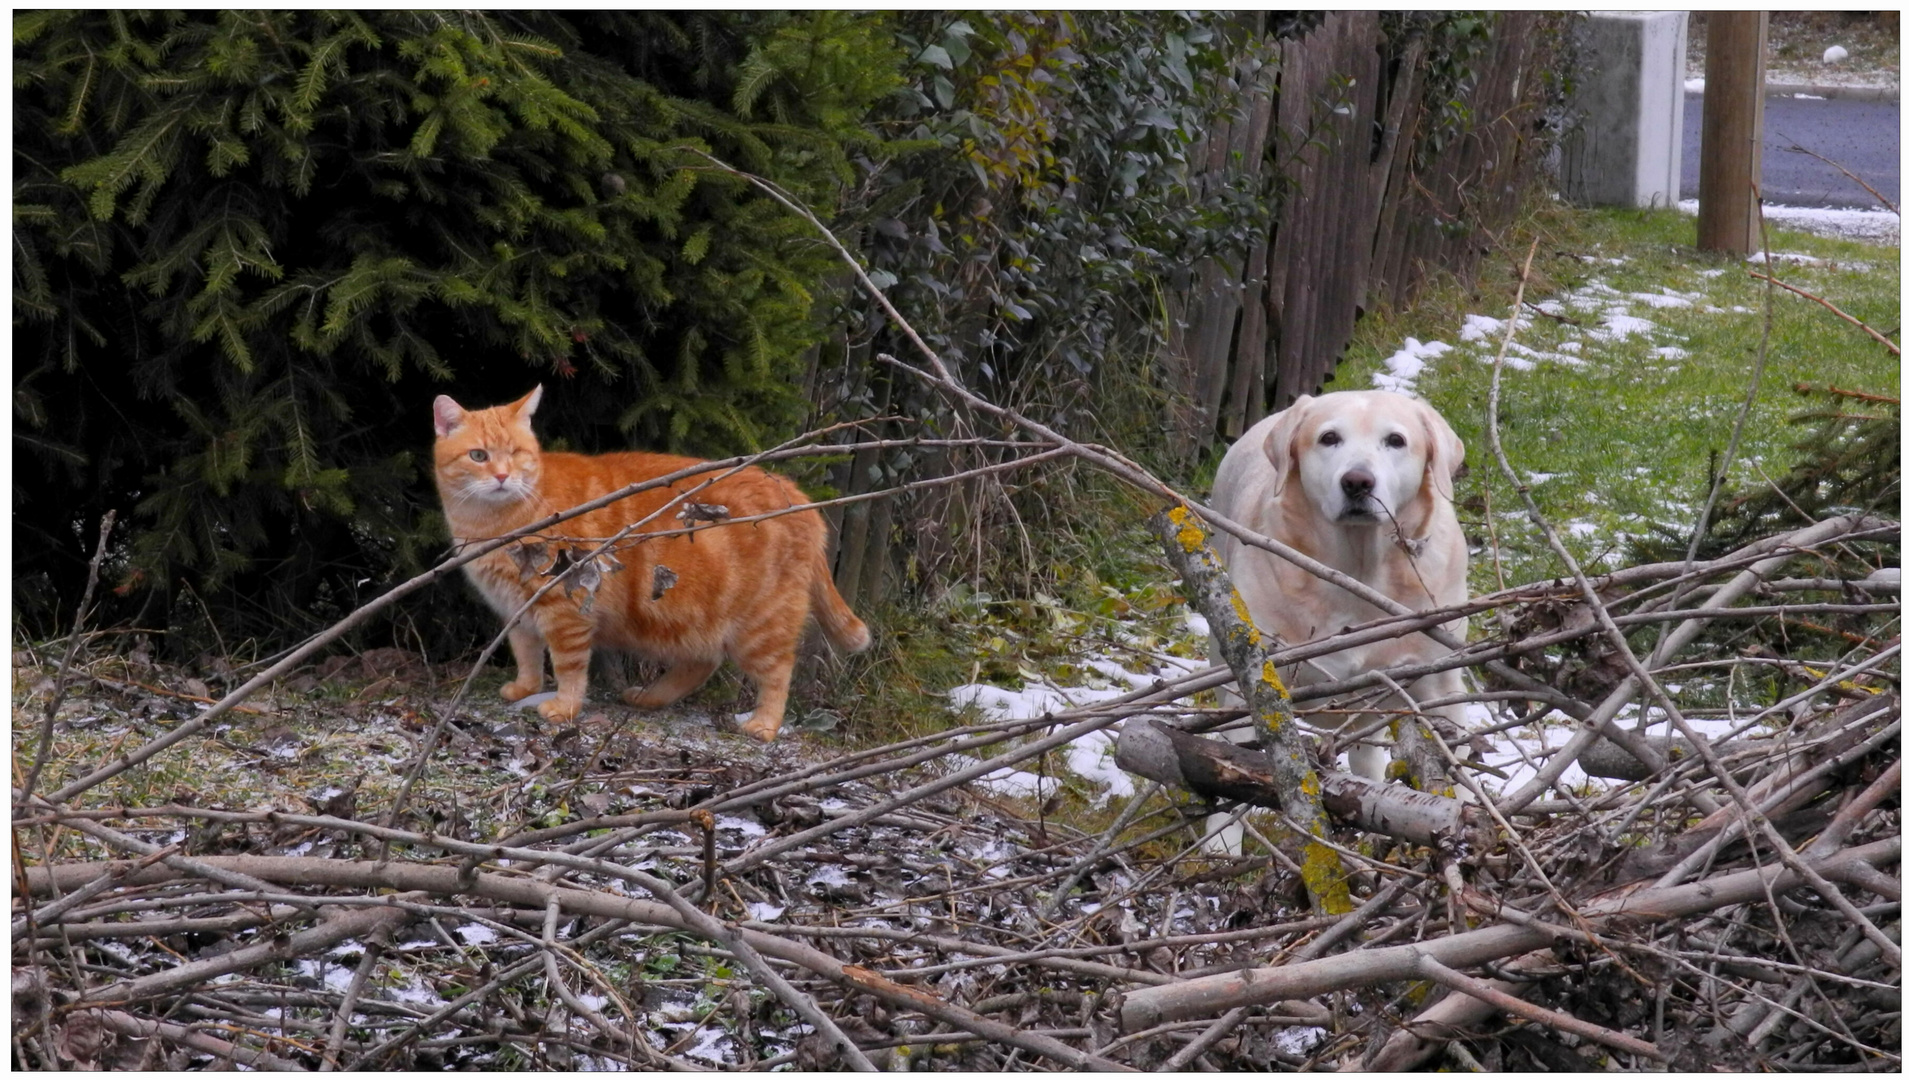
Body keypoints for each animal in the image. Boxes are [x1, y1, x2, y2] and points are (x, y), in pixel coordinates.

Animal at [429, 389, 870, 744]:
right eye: (479, 456)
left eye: (516, 454)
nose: (503, 476)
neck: (493, 523)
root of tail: (802, 499)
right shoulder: (517, 611)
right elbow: (527, 655)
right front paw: (525, 687)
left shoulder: (565, 609)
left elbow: (568, 666)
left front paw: (564, 707)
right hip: (694, 619)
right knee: (702, 663)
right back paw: (651, 697)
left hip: (761, 626)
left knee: (778, 672)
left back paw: (764, 725)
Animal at [1214, 393, 1466, 782]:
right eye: (1329, 438)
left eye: (1396, 440)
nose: (1357, 482)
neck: (1358, 572)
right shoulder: (1254, 684)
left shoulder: (1441, 686)